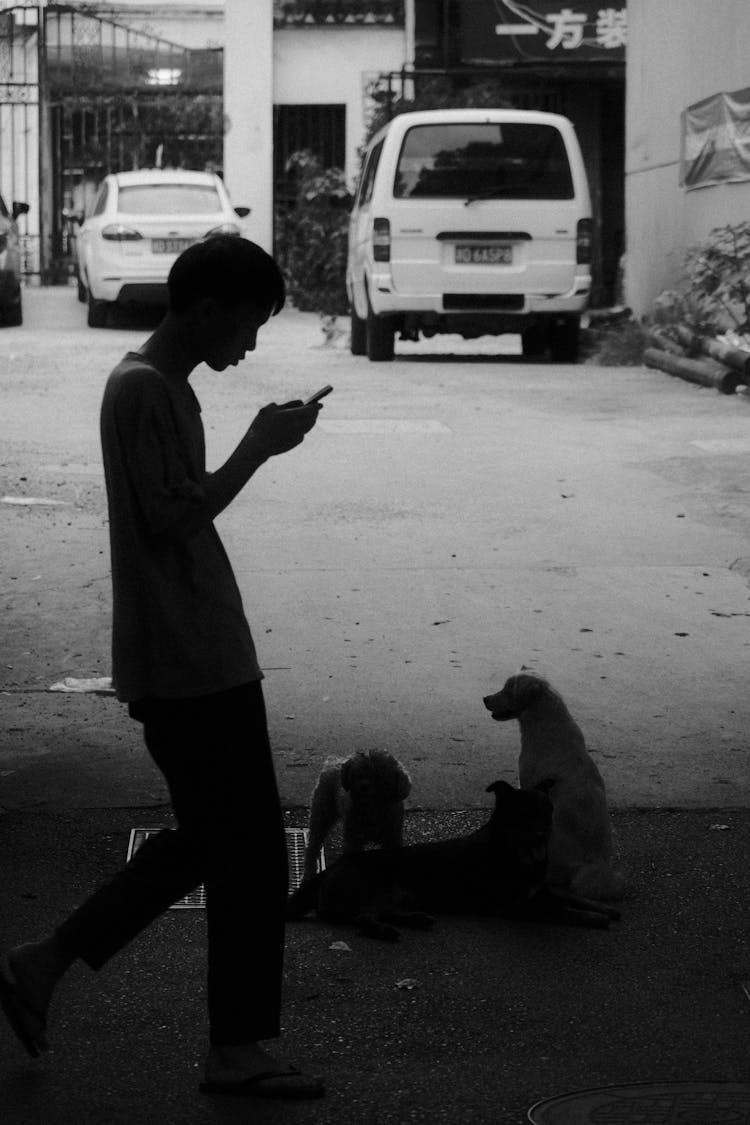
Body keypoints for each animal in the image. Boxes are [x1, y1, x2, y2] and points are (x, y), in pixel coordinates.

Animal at [284, 778, 620, 936]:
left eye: (547, 811)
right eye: (524, 814)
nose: (542, 835)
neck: (512, 850)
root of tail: (330, 869)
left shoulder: (542, 888)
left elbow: (571, 896)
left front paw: (603, 907)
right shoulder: (516, 905)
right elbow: (561, 911)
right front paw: (594, 918)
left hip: (397, 893)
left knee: (378, 912)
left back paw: (416, 919)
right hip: (378, 886)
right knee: (361, 917)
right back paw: (385, 930)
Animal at [301, 751, 413, 882]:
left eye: (380, 776)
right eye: (359, 774)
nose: (363, 786)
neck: (372, 808)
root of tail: (331, 762)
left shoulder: (392, 837)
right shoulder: (353, 839)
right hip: (321, 815)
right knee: (312, 847)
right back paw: (308, 874)